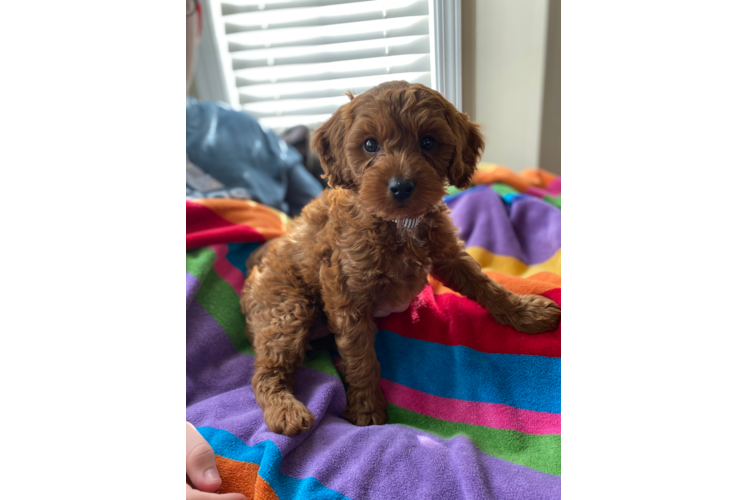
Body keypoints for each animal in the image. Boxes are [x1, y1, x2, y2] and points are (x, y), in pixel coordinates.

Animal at [243, 80, 560, 436]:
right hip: (288, 310)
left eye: (428, 142)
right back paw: (285, 410)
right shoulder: (346, 292)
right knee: (265, 372)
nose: (401, 187)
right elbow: (360, 356)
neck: (399, 224)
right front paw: (367, 409)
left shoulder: (448, 255)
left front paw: (524, 311)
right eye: (369, 145)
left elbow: (485, 286)